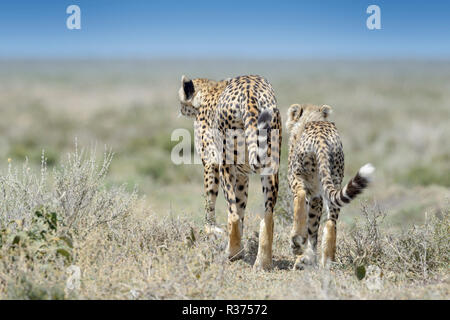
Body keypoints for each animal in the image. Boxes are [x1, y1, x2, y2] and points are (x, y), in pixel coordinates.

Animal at [286, 104, 374, 268]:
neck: (312, 118)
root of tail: (321, 139)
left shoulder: (308, 189)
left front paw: (303, 253)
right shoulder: (317, 195)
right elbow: (313, 227)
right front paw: (309, 258)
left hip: (298, 175)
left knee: (300, 195)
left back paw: (296, 239)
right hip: (334, 181)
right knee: (331, 222)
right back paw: (327, 261)